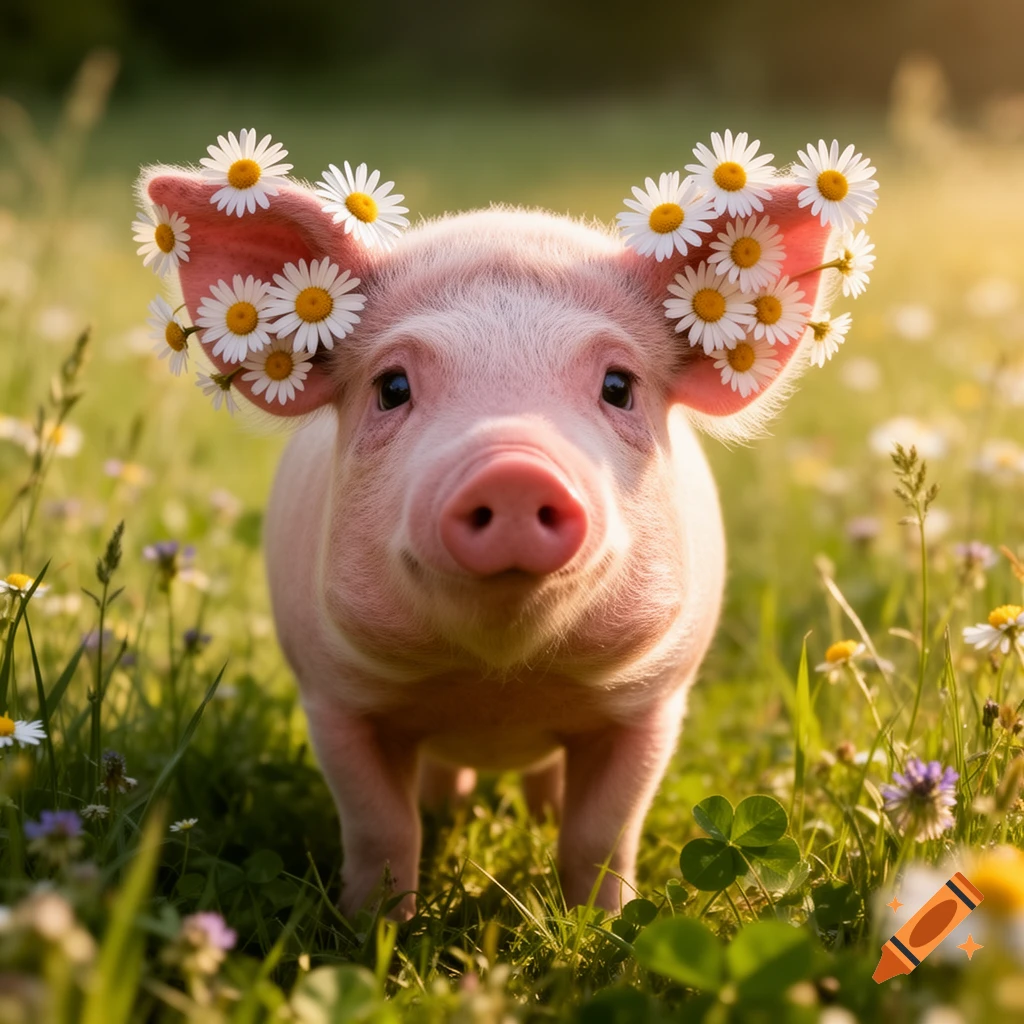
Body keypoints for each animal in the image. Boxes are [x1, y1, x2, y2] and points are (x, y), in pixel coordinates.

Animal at [142, 164, 833, 919]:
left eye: (619, 385)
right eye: (392, 386)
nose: (513, 468)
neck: (498, 683)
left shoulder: (653, 704)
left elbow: (602, 832)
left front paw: (600, 925)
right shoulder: (332, 698)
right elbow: (382, 828)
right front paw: (375, 928)